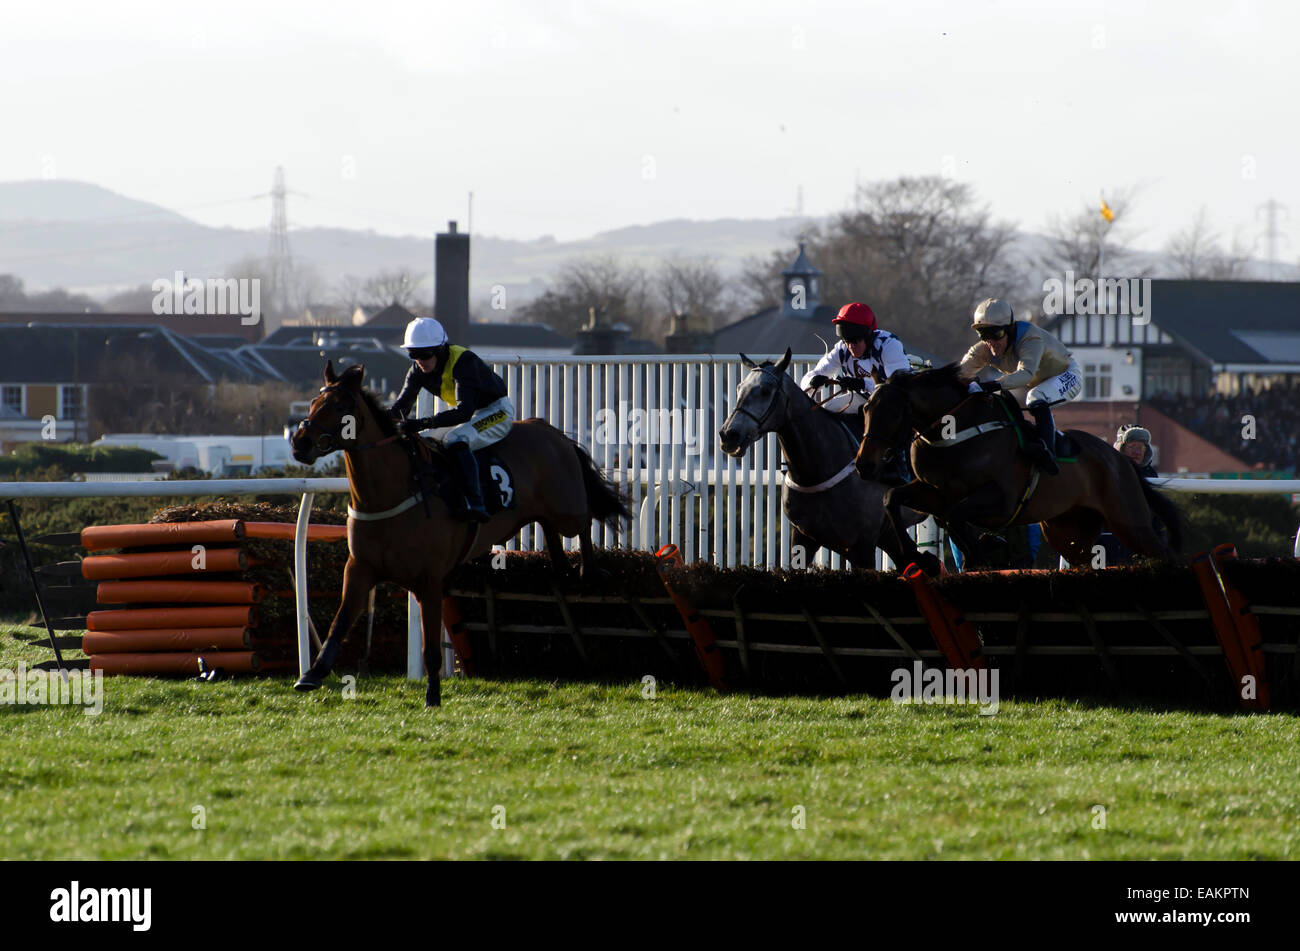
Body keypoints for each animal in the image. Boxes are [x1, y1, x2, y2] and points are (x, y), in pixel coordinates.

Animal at [288, 361, 629, 706]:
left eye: (341, 406)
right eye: (314, 403)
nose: (300, 442)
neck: (392, 492)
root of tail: (550, 430)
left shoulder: (429, 579)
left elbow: (430, 647)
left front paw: (432, 696)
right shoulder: (360, 567)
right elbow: (340, 621)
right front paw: (312, 674)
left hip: (566, 508)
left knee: (585, 521)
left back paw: (590, 570)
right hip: (544, 513)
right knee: (553, 538)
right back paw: (563, 568)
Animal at [717, 348, 920, 571]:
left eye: (765, 391)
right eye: (739, 388)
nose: (728, 435)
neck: (817, 470)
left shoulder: (863, 547)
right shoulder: (802, 538)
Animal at [857, 361, 1185, 571]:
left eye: (893, 413)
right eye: (866, 409)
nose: (864, 465)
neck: (954, 433)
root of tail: (1122, 460)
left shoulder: (1001, 499)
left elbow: (955, 516)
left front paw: (985, 549)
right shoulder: (934, 492)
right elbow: (892, 499)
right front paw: (915, 556)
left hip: (1129, 521)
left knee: (1164, 553)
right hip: (1068, 530)